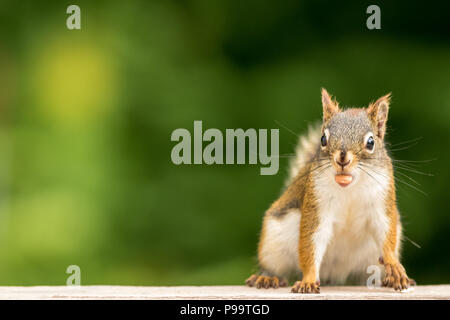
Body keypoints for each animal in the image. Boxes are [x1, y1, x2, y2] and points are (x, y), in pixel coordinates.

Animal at [246, 89, 414, 294]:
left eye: (371, 142)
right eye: (323, 139)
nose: (342, 158)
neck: (350, 187)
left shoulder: (381, 201)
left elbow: (386, 233)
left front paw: (395, 267)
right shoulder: (316, 204)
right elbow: (311, 242)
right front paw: (308, 280)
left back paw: (387, 279)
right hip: (274, 242)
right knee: (274, 265)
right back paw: (267, 277)